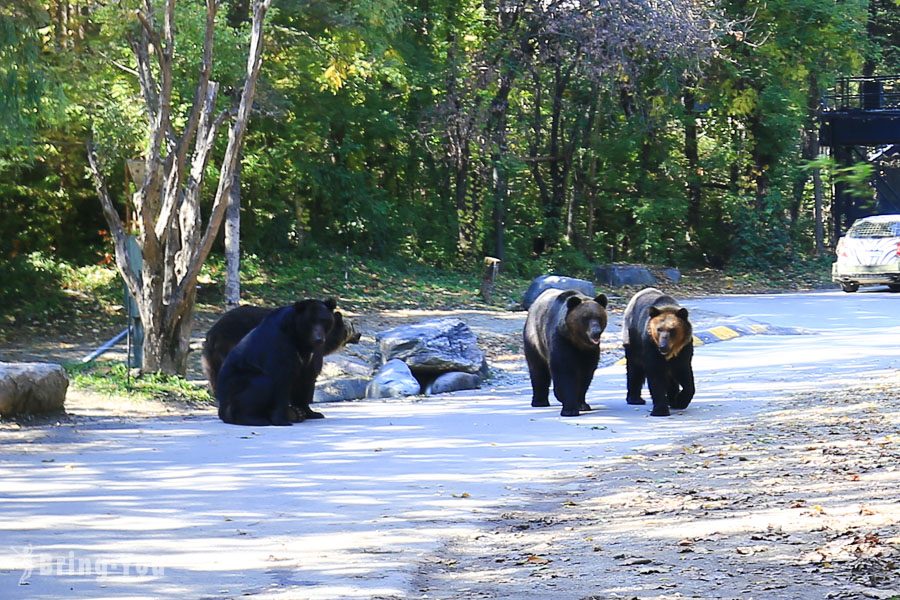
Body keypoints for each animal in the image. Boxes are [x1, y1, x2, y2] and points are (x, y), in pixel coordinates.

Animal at [524, 290, 608, 418]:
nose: (596, 332)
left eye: (599, 317)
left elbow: (586, 374)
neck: (577, 341)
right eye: (585, 318)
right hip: (534, 340)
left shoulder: (590, 351)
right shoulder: (561, 340)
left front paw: (582, 404)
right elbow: (565, 370)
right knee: (538, 370)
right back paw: (539, 401)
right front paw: (569, 408)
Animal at [620, 288, 696, 418]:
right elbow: (656, 376)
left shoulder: (683, 350)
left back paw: (672, 399)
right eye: (659, 329)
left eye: (672, 330)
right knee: (634, 368)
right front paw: (660, 410)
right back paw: (635, 398)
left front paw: (680, 401)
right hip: (632, 339)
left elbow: (685, 375)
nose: (663, 346)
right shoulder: (650, 347)